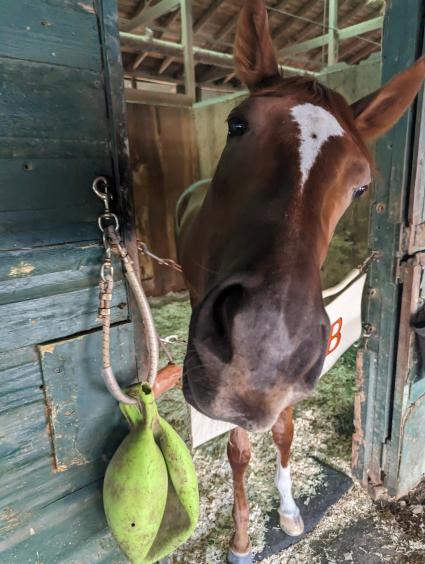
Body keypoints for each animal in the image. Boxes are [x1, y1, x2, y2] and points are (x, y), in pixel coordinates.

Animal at [174, 2, 422, 560]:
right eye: (236, 123)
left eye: (362, 185)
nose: (264, 353)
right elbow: (240, 448)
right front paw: (242, 538)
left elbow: (284, 431)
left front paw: (288, 509)